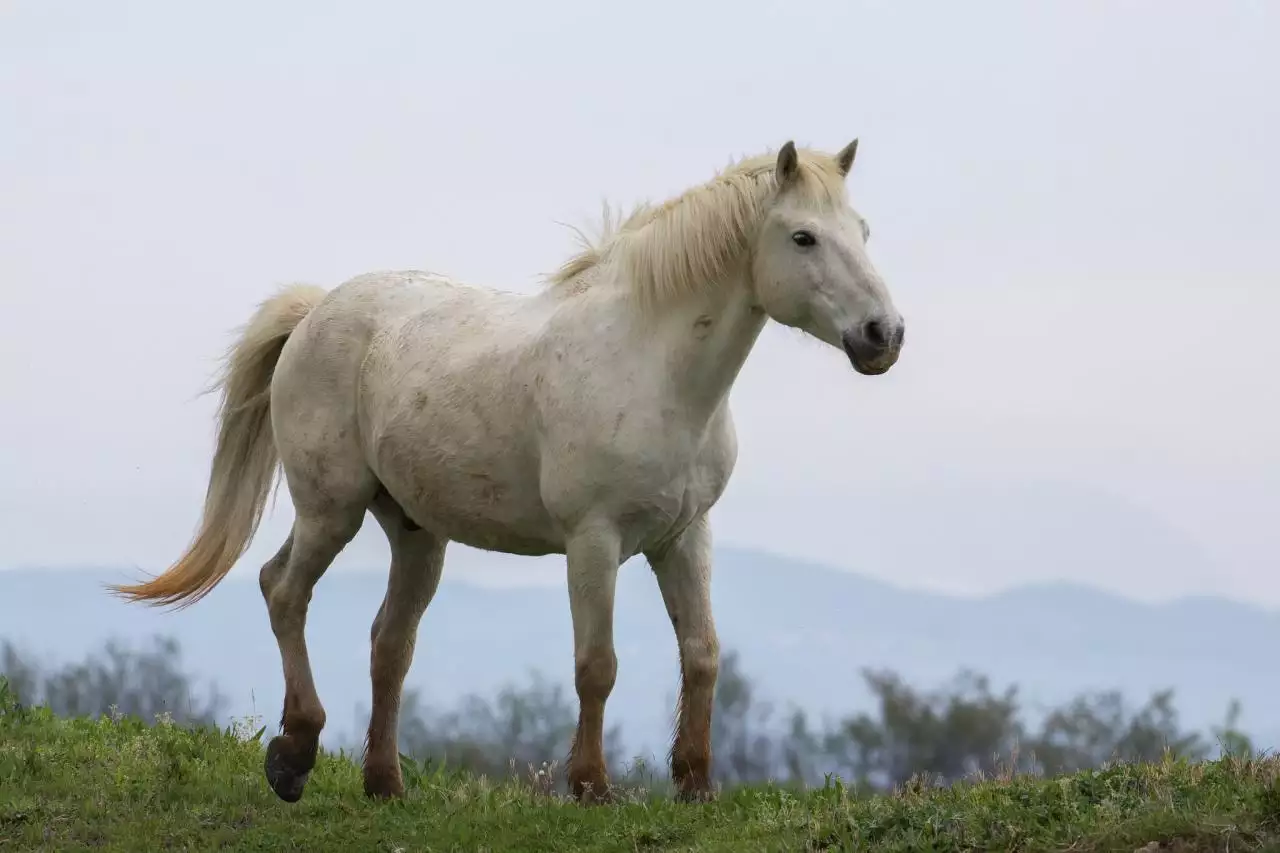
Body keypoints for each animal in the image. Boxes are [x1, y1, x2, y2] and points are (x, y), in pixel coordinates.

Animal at [115, 137, 906, 799]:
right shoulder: (594, 540)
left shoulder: (684, 536)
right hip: (329, 509)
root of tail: (314, 312)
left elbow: (703, 653)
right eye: (803, 237)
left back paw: (384, 783)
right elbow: (597, 665)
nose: (884, 335)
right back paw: (294, 755)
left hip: (416, 534)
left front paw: (696, 786)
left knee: (389, 644)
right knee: (283, 591)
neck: (652, 366)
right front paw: (590, 787)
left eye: (863, 232)